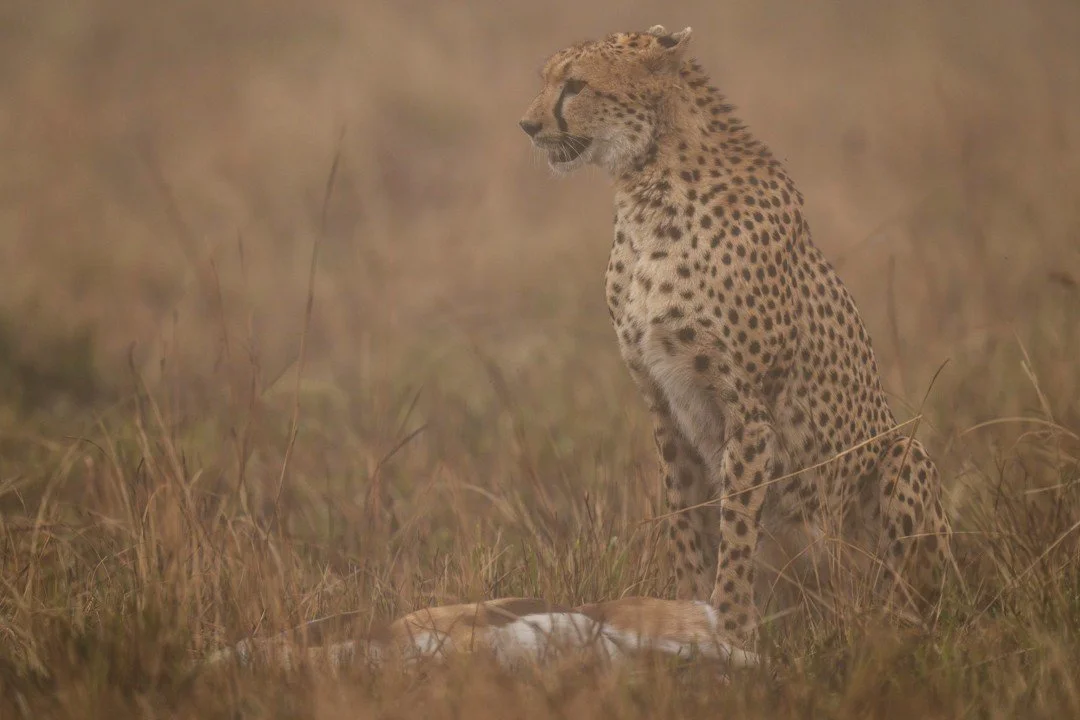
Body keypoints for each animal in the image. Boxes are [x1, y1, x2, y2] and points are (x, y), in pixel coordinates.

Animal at [519, 24, 953, 647]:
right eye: (549, 80)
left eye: (575, 84)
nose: (527, 125)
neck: (647, 186)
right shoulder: (663, 402)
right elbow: (685, 519)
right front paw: (686, 612)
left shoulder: (748, 409)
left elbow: (739, 526)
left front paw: (731, 626)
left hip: (901, 456)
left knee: (904, 597)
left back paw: (886, 625)